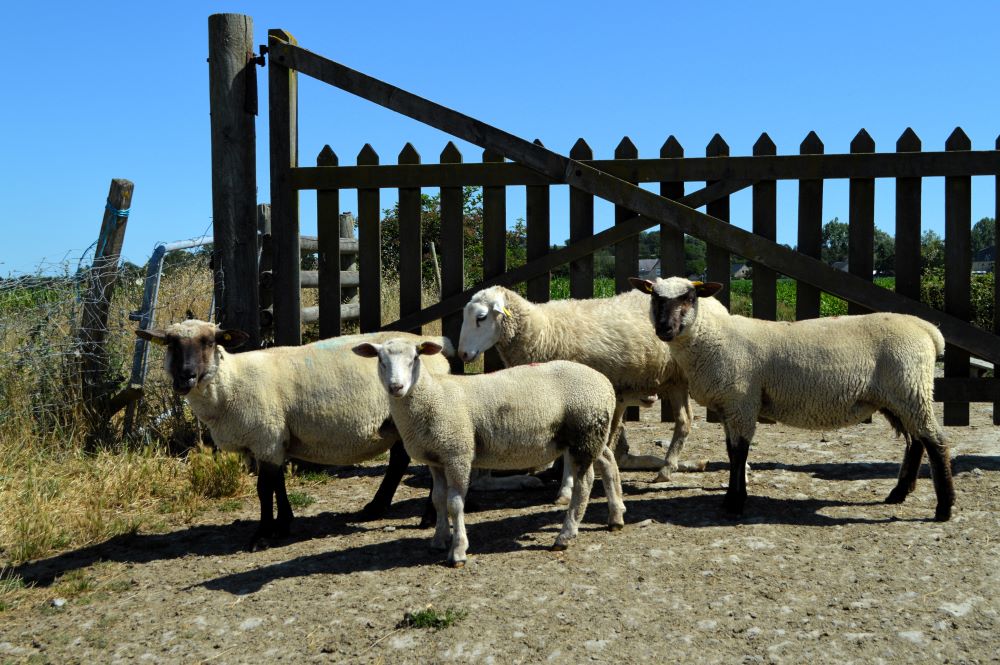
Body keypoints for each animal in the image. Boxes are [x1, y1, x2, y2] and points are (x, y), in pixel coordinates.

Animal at [136, 320, 453, 549]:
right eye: (171, 344)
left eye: (209, 342)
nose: (185, 377)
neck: (231, 382)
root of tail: (437, 346)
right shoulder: (273, 438)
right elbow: (278, 483)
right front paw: (284, 524)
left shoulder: (265, 435)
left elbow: (264, 489)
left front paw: (262, 535)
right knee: (399, 460)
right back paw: (375, 508)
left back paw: (428, 517)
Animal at [352, 338, 626, 567]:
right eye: (380, 360)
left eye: (415, 358)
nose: (396, 387)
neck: (433, 395)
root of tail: (604, 382)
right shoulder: (437, 458)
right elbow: (438, 499)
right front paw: (439, 539)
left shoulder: (458, 453)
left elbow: (454, 504)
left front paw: (458, 551)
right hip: (592, 433)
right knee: (608, 462)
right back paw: (615, 516)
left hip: (584, 432)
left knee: (585, 482)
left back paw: (565, 535)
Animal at [457, 286, 702, 498]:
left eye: (481, 317)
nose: (463, 354)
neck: (542, 330)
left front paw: (566, 487)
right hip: (675, 379)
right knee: (684, 420)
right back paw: (667, 468)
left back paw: (666, 469)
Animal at [629, 276, 954, 522]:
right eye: (655, 297)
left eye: (689, 297)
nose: (664, 328)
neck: (714, 338)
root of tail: (928, 330)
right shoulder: (729, 406)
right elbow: (732, 452)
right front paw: (733, 497)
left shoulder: (742, 401)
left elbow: (740, 453)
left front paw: (735, 502)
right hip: (896, 395)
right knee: (917, 442)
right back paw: (898, 494)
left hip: (910, 386)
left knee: (935, 441)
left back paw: (944, 508)